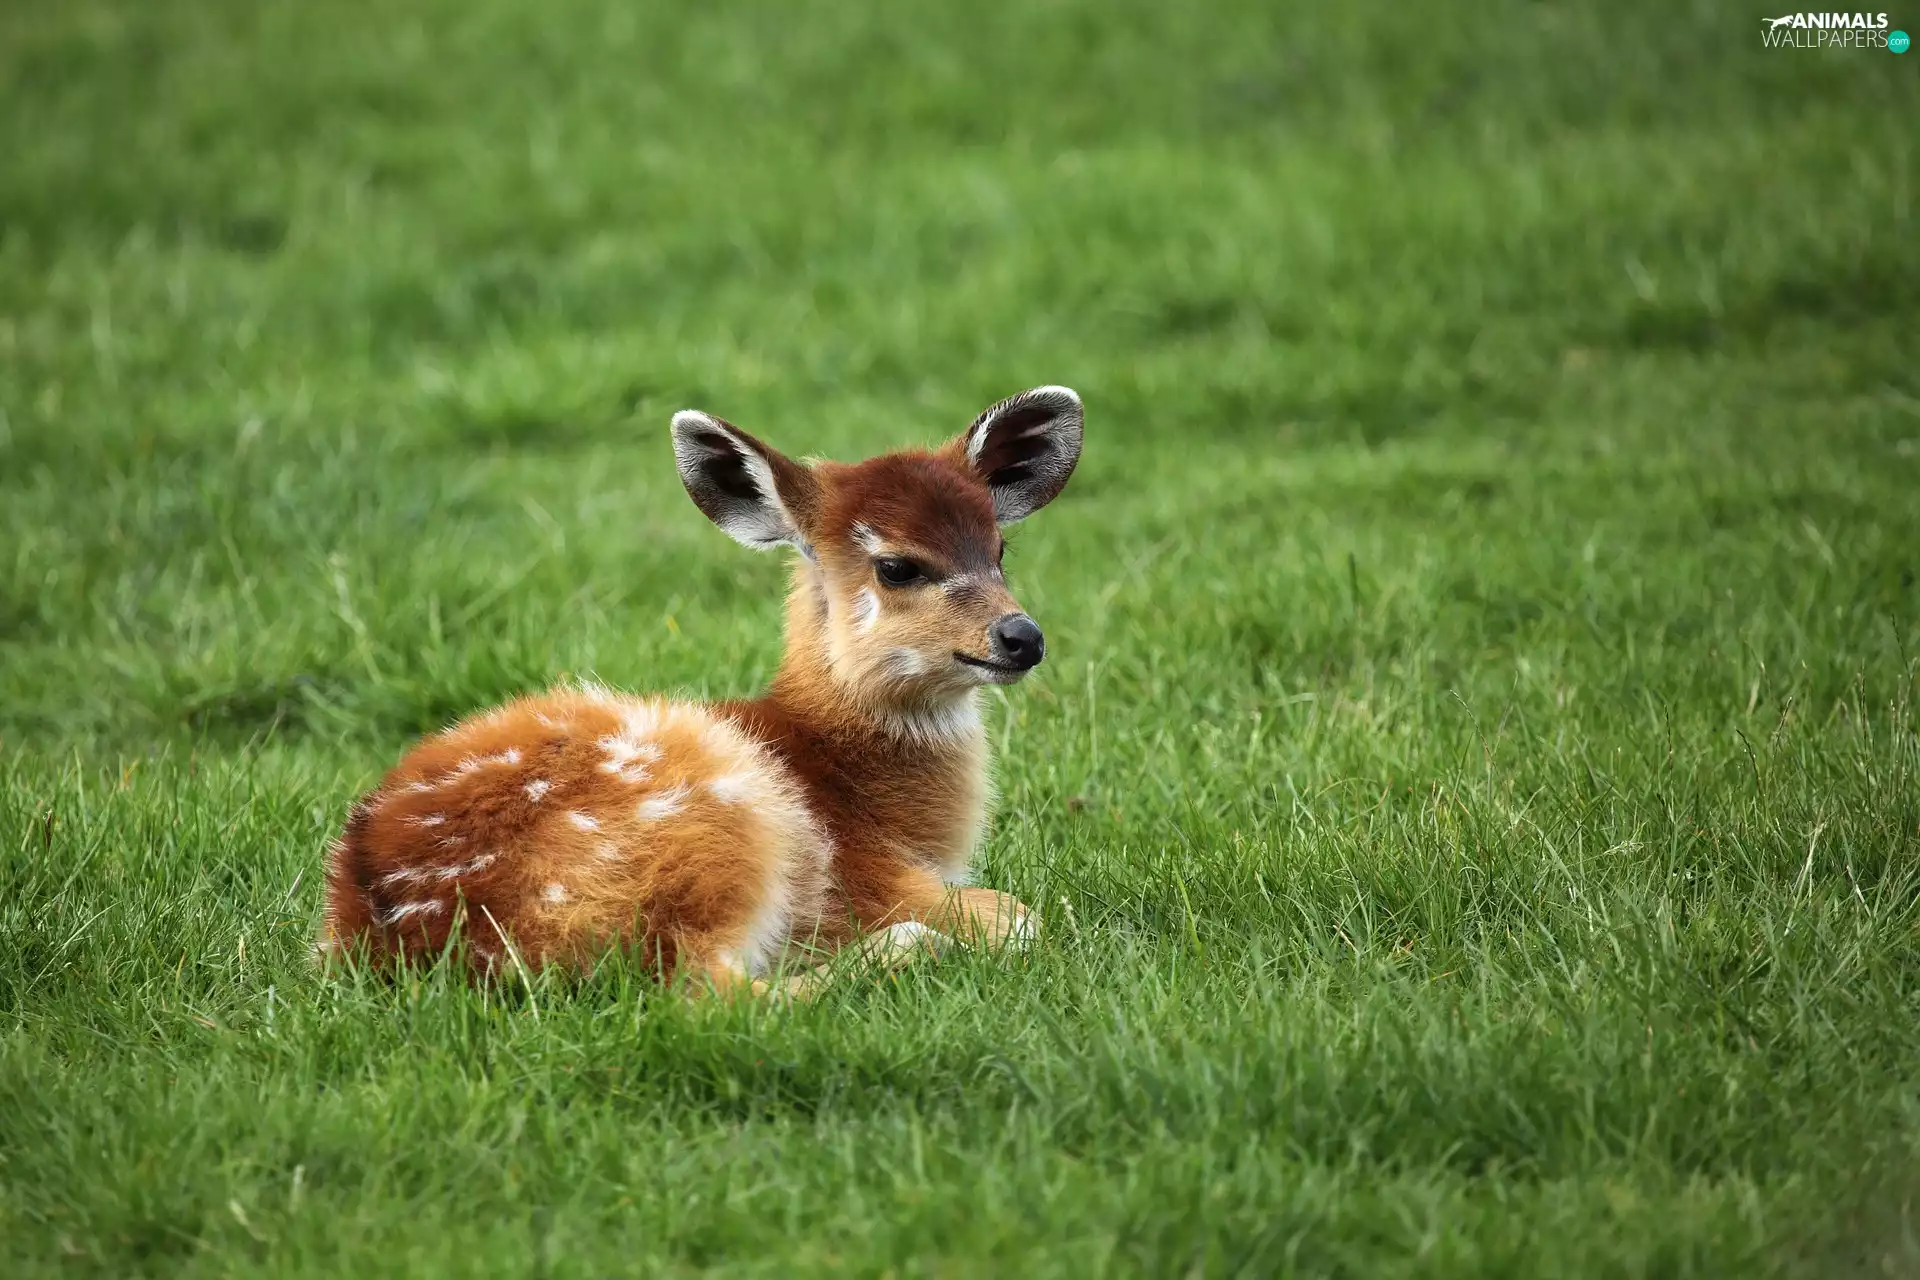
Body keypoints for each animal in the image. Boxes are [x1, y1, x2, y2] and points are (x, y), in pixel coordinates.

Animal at [319, 385, 1084, 998]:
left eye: (1000, 550)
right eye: (896, 566)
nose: (1022, 636)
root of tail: (390, 939)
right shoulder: (873, 880)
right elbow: (1023, 916)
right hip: (720, 827)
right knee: (707, 990)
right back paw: (907, 950)